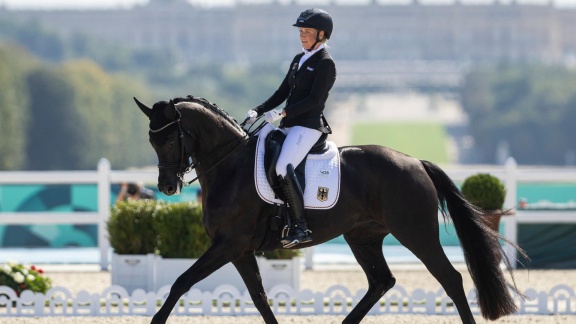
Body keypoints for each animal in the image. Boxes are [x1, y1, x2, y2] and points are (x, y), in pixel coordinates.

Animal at [133, 96, 524, 324]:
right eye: (151, 139)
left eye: (169, 137)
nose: (167, 186)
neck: (230, 164)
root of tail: (416, 162)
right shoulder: (239, 250)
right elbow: (259, 299)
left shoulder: (229, 244)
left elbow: (180, 283)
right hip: (363, 236)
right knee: (381, 282)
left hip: (415, 233)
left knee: (451, 279)